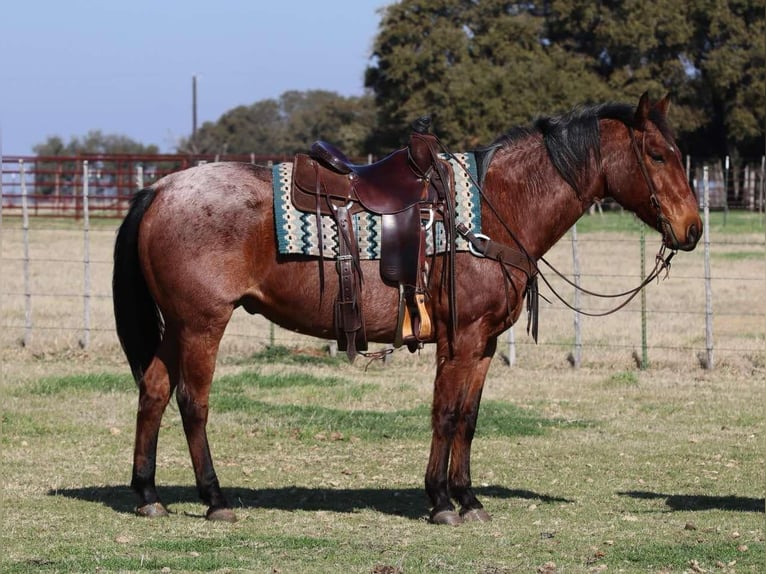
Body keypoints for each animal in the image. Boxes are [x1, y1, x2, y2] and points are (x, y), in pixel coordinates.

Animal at [112, 93, 704, 528]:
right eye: (657, 155)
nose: (693, 228)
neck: (496, 208)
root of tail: (161, 188)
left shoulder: (484, 343)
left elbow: (468, 418)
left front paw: (468, 498)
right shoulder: (461, 338)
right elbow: (445, 413)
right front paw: (440, 501)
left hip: (177, 325)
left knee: (154, 390)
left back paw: (148, 494)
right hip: (201, 323)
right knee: (193, 402)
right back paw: (215, 499)